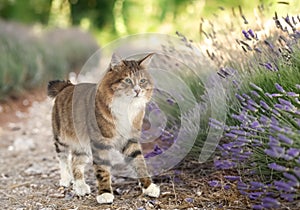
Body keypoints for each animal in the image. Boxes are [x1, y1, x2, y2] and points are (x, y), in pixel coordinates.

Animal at [47, 53, 159, 204]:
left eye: (142, 81)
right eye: (128, 80)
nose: (137, 90)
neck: (126, 107)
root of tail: (68, 86)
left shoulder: (130, 140)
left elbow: (139, 163)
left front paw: (148, 186)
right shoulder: (100, 142)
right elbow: (103, 170)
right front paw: (105, 193)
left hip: (82, 146)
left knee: (75, 162)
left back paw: (80, 186)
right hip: (61, 138)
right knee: (63, 158)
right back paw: (66, 179)